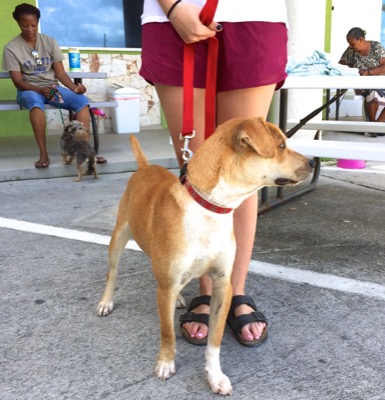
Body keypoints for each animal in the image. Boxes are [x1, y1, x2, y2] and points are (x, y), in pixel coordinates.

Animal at [95, 117, 312, 396]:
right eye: (282, 145)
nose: (313, 163)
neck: (210, 208)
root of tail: (144, 167)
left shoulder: (222, 284)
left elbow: (214, 341)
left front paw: (215, 376)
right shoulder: (166, 285)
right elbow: (167, 332)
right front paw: (166, 363)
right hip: (119, 237)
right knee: (112, 272)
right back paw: (106, 301)